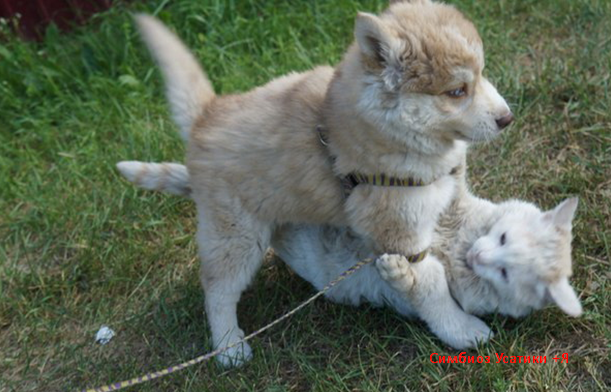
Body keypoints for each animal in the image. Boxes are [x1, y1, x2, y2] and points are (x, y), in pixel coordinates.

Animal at [116, 161, 584, 350]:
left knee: (218, 290)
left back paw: (230, 347)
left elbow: (436, 299)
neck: (457, 241)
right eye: (503, 237)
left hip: (241, 240)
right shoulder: (452, 207)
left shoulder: (451, 303)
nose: (478, 257)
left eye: (504, 274)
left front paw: (397, 270)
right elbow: (449, 184)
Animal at [134, 0, 512, 368]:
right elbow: (432, 287)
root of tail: (206, 116)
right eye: (457, 91)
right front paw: (461, 330)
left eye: (481, 74)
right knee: (218, 290)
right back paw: (229, 346)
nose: (507, 118)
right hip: (235, 235)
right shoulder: (402, 237)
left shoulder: (448, 193)